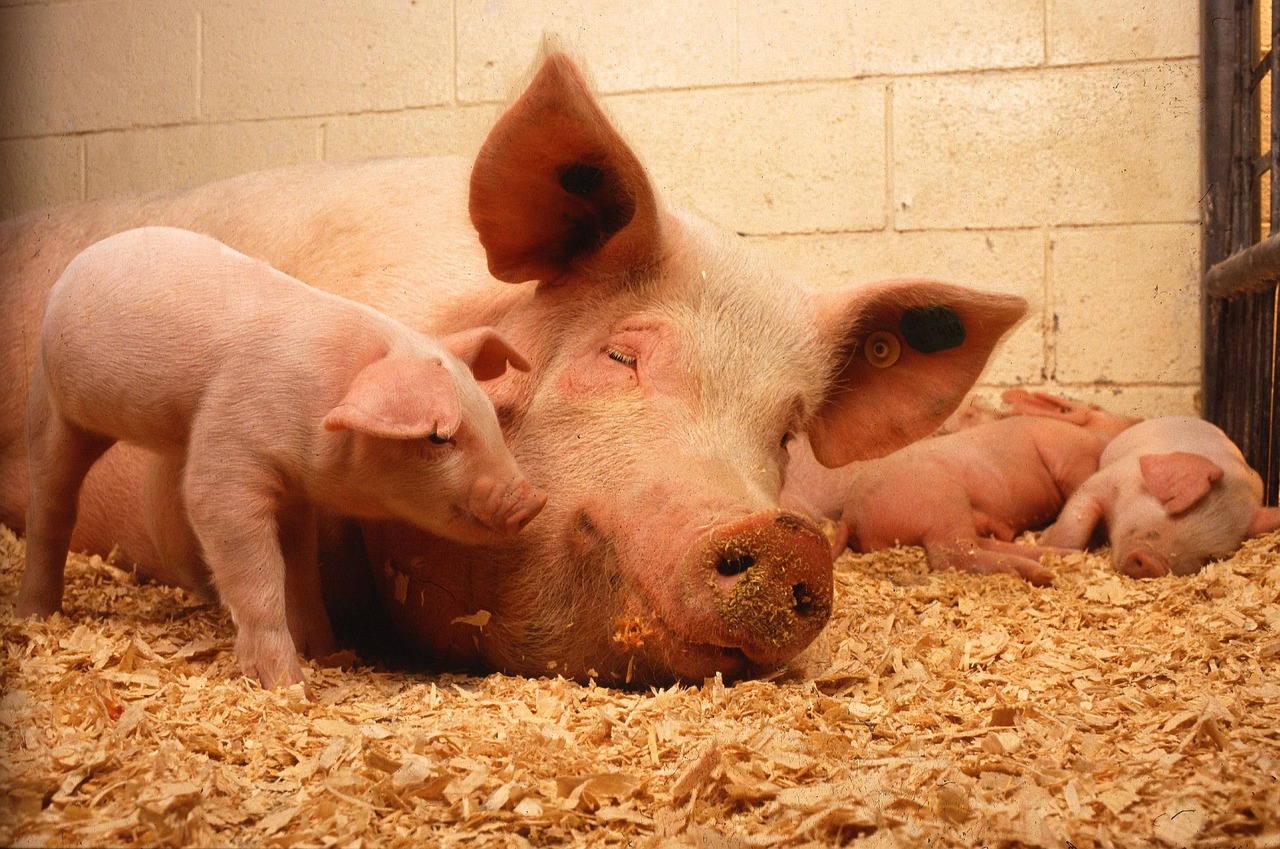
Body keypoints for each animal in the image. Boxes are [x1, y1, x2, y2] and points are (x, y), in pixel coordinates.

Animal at [18, 227, 545, 691]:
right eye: (438, 437)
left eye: (489, 416)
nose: (533, 500)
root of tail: (76, 266)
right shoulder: (227, 452)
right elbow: (255, 569)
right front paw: (288, 685)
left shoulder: (294, 492)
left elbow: (302, 571)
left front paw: (330, 655)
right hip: (53, 406)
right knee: (50, 503)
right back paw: (37, 615)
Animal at [783, 389, 1146, 583]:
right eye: (1099, 409)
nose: (1139, 419)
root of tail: (851, 516)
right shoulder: (1069, 453)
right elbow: (1076, 485)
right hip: (943, 499)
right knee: (952, 555)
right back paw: (1041, 573)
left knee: (977, 544)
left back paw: (1054, 560)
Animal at [1039, 417, 1280, 578]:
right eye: (1174, 511)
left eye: (1209, 557)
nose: (1152, 564)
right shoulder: (1105, 480)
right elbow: (1076, 523)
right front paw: (1054, 549)